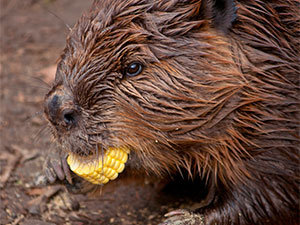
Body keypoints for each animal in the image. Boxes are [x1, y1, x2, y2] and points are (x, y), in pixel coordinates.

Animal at [43, 0, 300, 224]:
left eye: (133, 67)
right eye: (71, 46)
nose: (55, 109)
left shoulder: (272, 125)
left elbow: (270, 193)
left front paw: (183, 218)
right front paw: (59, 168)